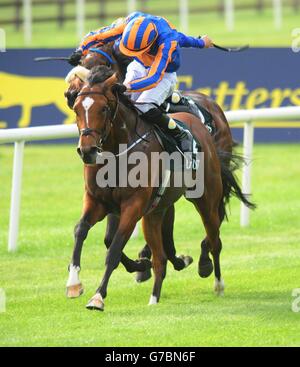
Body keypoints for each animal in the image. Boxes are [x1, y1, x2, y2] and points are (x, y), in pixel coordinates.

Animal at [68, 65, 255, 310]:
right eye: (77, 108)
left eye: (104, 108)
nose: (87, 150)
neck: (118, 152)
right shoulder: (98, 201)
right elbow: (82, 230)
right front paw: (74, 283)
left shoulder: (133, 205)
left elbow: (115, 247)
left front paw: (98, 296)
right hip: (157, 208)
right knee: (164, 250)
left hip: (205, 198)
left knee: (214, 236)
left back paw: (215, 280)